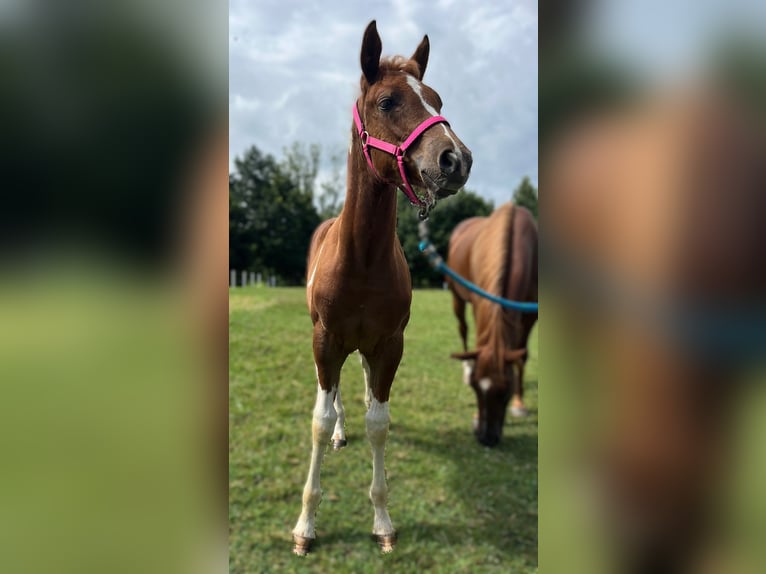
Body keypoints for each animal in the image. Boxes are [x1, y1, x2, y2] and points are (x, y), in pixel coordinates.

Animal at [294, 20, 474, 556]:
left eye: (436, 99)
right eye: (388, 101)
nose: (455, 159)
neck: (361, 260)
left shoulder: (389, 345)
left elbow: (379, 422)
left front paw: (382, 522)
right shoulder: (325, 340)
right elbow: (319, 420)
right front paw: (305, 528)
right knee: (331, 397)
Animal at [448, 202, 536, 450]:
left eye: (505, 390)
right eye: (475, 388)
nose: (485, 438)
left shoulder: (530, 312)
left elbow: (521, 356)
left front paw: (519, 403)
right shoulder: (480, 301)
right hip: (457, 297)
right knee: (463, 330)